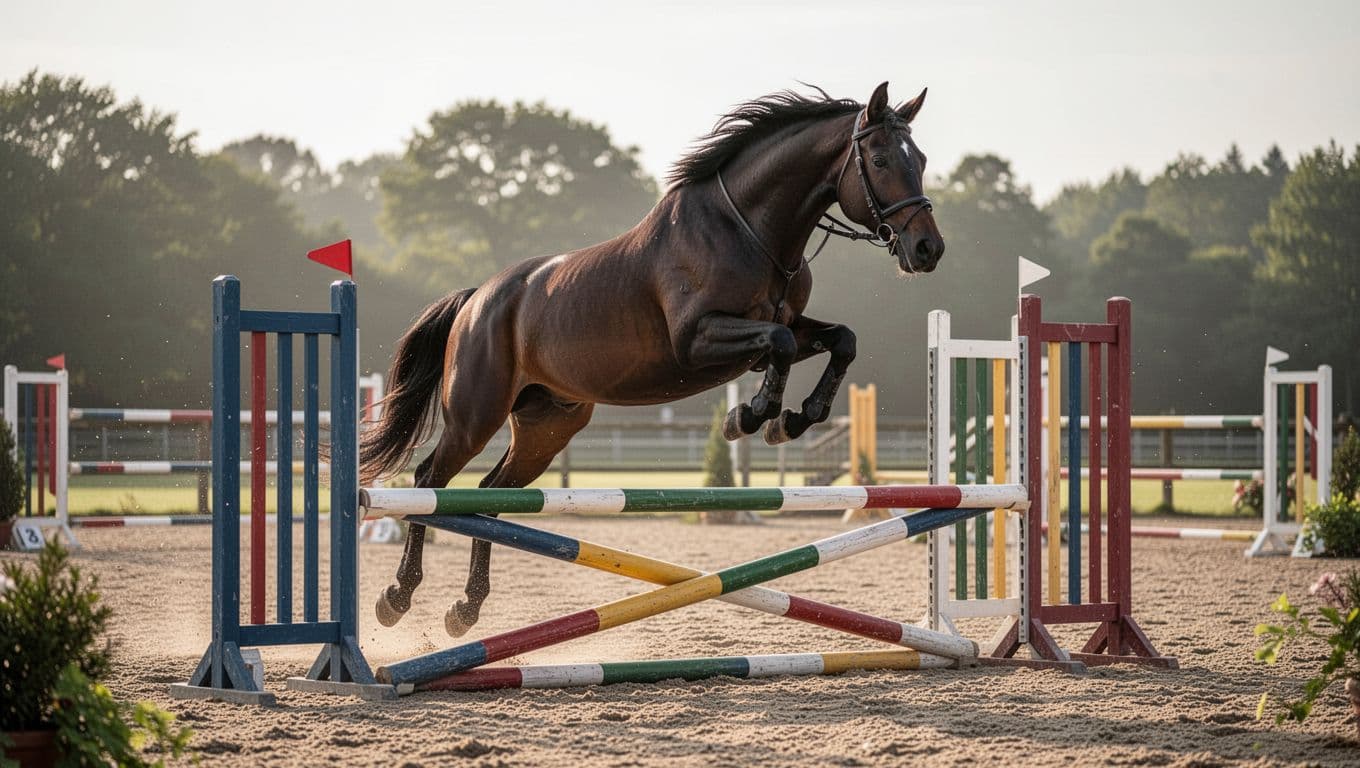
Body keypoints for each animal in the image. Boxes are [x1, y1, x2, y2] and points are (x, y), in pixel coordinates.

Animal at [360, 82, 946, 637]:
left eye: (920, 157)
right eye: (880, 160)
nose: (928, 250)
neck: (750, 231)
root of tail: (478, 297)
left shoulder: (784, 328)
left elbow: (840, 340)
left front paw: (794, 419)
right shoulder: (698, 340)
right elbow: (778, 344)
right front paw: (749, 417)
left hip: (547, 425)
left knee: (488, 495)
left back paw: (466, 609)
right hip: (474, 415)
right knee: (429, 480)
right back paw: (397, 597)